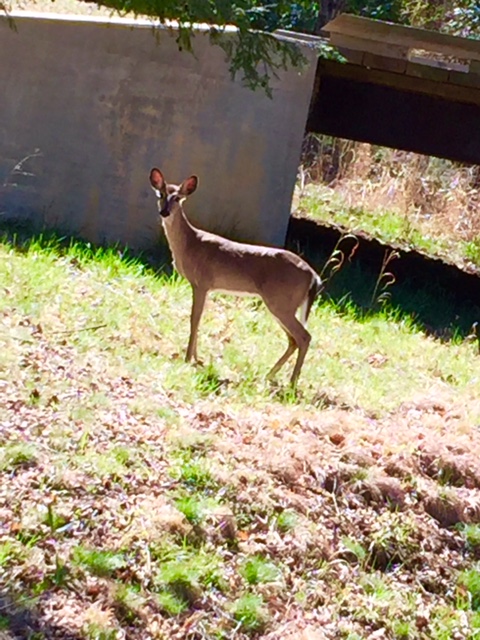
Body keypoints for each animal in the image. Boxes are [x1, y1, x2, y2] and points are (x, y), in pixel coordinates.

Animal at [150, 168, 322, 384]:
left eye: (178, 198)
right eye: (161, 194)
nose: (164, 212)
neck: (190, 244)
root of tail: (313, 276)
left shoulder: (201, 282)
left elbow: (194, 318)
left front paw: (188, 358)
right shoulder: (206, 287)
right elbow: (200, 318)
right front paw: (197, 359)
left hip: (281, 301)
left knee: (304, 336)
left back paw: (291, 383)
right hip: (283, 304)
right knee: (293, 339)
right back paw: (270, 375)